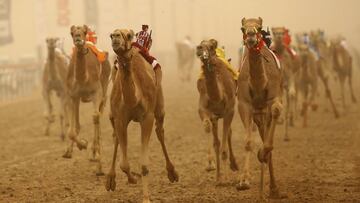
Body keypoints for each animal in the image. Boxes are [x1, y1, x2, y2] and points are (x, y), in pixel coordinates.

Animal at [63, 24, 110, 176]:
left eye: (83, 32)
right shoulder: (72, 95)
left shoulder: (97, 92)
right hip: (78, 99)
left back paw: (94, 154)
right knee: (78, 124)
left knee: (99, 116)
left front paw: (99, 166)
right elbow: (72, 130)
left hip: (104, 90)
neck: (84, 78)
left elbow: (95, 117)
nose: (78, 38)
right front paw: (82, 144)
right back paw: (70, 151)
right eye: (72, 33)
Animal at [104, 28, 179, 203]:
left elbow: (144, 164)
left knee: (160, 131)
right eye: (111, 35)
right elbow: (124, 164)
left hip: (159, 105)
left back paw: (172, 173)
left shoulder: (147, 117)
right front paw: (132, 179)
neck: (134, 98)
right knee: (115, 137)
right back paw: (110, 179)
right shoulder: (120, 118)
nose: (116, 37)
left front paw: (146, 198)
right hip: (112, 114)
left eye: (128, 35)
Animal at [195, 38, 238, 183]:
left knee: (229, 133)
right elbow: (208, 129)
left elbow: (224, 145)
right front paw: (211, 166)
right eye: (201, 45)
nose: (199, 49)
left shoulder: (229, 111)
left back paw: (233, 166)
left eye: (211, 46)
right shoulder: (204, 109)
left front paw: (227, 179)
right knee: (217, 141)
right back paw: (219, 177)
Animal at [236, 17, 286, 198]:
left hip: (265, 112)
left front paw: (262, 153)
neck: (259, 84)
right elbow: (248, 141)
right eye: (242, 28)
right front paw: (243, 181)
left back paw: (274, 188)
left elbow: (277, 110)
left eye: (259, 27)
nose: (251, 35)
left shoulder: (274, 98)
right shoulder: (244, 103)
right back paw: (270, 188)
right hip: (259, 115)